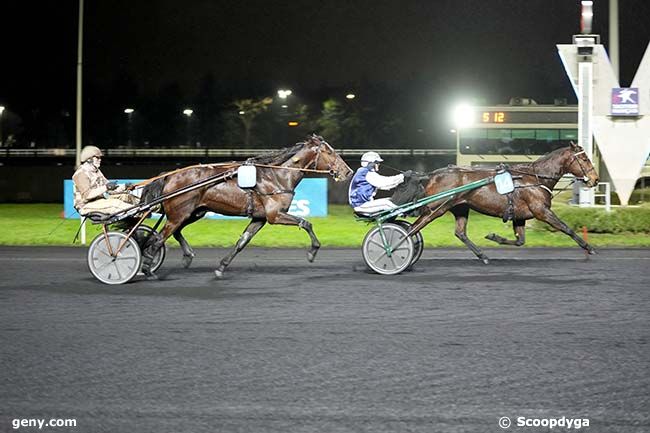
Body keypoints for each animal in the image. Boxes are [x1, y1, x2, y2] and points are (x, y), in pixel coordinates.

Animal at [140, 133, 352, 278]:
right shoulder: (275, 215)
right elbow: (306, 223)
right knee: (159, 238)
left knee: (173, 233)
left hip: (194, 213)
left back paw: (186, 256)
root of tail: (169, 176)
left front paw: (221, 267)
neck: (278, 176)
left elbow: (242, 242)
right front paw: (312, 252)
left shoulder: (260, 218)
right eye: (330, 152)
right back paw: (147, 268)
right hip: (179, 214)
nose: (348, 171)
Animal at [404, 143, 596, 262]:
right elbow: (566, 228)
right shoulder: (541, 211)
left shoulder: (520, 216)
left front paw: (494, 237)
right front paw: (589, 247)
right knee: (413, 228)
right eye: (585, 159)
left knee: (460, 233)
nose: (595, 179)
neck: (534, 178)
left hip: (460, 207)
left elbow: (520, 241)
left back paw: (482, 256)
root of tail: (432, 175)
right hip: (436, 208)